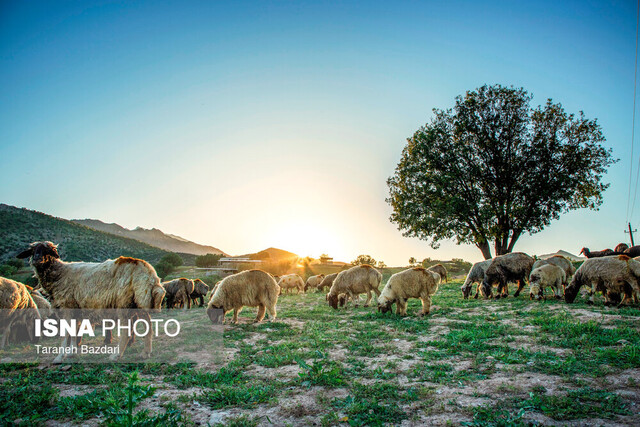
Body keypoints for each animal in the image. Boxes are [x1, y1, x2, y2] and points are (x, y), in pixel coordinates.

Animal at [16, 242, 165, 362]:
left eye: (47, 251)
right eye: (33, 250)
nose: (37, 259)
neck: (59, 274)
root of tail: (150, 273)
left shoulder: (67, 306)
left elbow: (67, 333)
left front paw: (60, 356)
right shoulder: (76, 308)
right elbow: (74, 332)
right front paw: (72, 352)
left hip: (124, 302)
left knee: (126, 331)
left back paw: (116, 355)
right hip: (139, 300)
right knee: (148, 326)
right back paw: (145, 353)